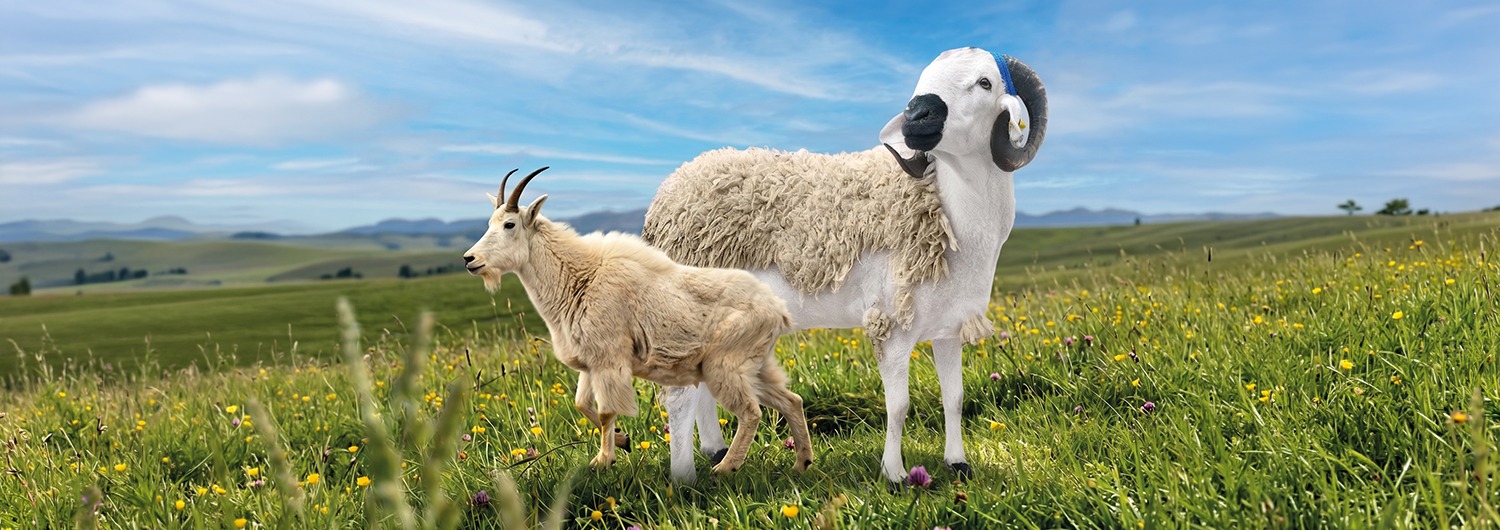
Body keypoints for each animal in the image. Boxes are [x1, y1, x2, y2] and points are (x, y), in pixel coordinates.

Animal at [462, 166, 813, 479]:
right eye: (490, 223)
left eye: (509, 224)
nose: (470, 260)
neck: (579, 280)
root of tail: (778, 310)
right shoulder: (591, 362)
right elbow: (581, 405)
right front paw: (622, 441)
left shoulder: (609, 358)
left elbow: (605, 411)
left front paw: (603, 461)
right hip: (755, 366)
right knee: (791, 401)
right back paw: (801, 464)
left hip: (724, 365)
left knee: (751, 412)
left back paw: (726, 468)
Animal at [643, 47, 1047, 484]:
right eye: (921, 80)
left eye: (985, 82)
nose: (915, 116)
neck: (949, 209)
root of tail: (667, 194)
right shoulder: (891, 325)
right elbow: (899, 406)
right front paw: (895, 475)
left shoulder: (948, 328)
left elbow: (954, 397)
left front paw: (958, 464)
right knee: (679, 396)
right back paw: (685, 478)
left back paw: (715, 452)